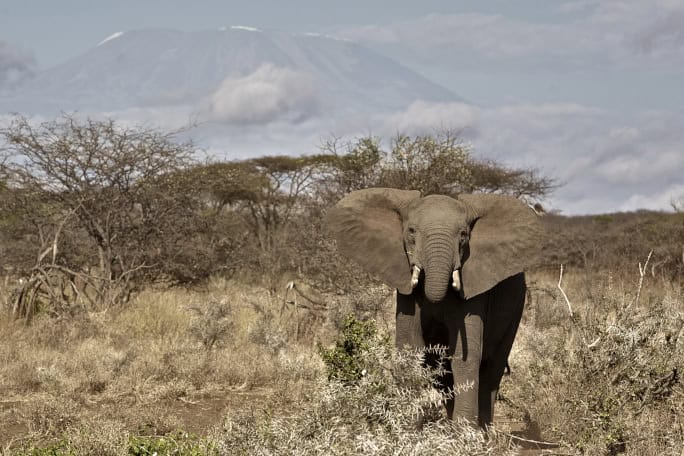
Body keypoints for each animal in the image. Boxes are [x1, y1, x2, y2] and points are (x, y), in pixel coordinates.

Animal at [324, 188, 542, 428]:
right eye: (411, 231)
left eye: (463, 235)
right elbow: (409, 349)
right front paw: (408, 426)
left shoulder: (474, 287)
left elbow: (465, 358)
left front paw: (463, 434)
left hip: (516, 306)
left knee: (491, 372)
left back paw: (483, 431)